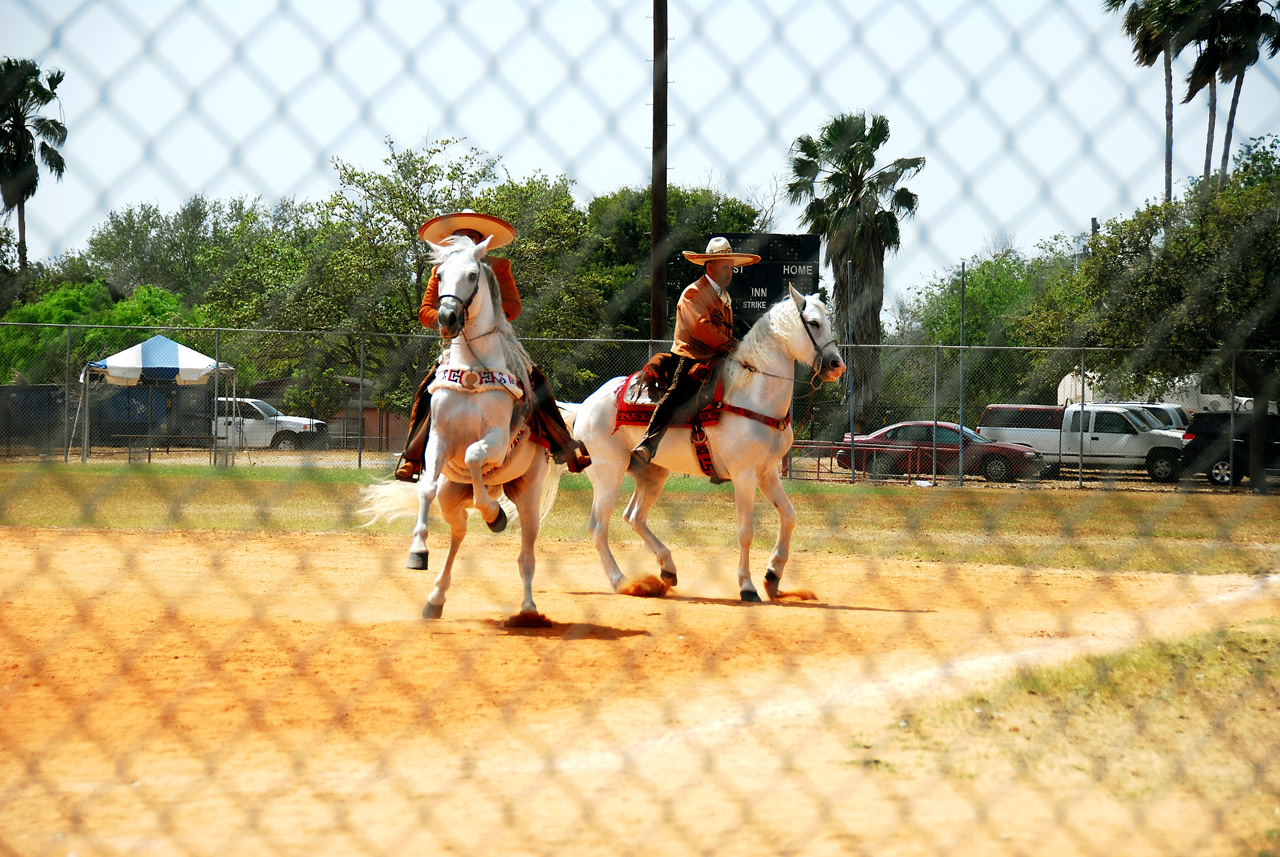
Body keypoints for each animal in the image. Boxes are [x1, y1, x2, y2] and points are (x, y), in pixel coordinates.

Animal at [366, 235, 555, 624]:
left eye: (471, 275)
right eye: (439, 274)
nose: (447, 317)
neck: (471, 371)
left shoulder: (496, 442)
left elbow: (472, 455)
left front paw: (494, 514)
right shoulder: (437, 442)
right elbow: (426, 488)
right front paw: (417, 550)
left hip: (529, 494)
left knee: (526, 553)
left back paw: (528, 609)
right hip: (453, 496)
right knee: (458, 532)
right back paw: (435, 598)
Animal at [568, 289, 844, 603]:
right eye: (814, 322)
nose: (837, 365)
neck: (751, 395)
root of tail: (585, 406)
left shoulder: (767, 473)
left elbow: (789, 516)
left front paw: (773, 576)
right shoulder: (744, 476)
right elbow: (745, 531)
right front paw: (747, 587)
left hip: (652, 473)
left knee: (634, 517)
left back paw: (667, 569)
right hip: (609, 474)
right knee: (598, 528)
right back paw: (624, 582)